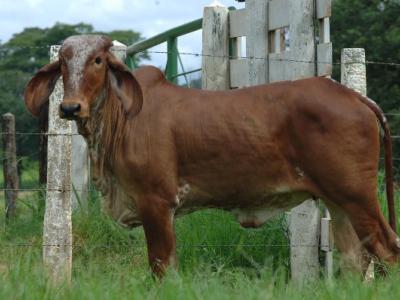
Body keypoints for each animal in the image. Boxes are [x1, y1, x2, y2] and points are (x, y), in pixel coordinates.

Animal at [24, 35, 396, 276]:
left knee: (387, 251)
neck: (120, 121)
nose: (69, 107)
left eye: (98, 60)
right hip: (338, 202)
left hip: (357, 195)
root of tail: (353, 96)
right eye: (63, 62)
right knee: (356, 260)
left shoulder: (156, 202)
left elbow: (161, 267)